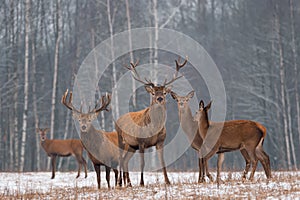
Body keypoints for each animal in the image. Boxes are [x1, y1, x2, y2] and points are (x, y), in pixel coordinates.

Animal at [115, 57, 188, 187]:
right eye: (153, 93)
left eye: (164, 92)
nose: (159, 98)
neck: (154, 128)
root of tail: (117, 120)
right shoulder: (141, 142)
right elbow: (142, 163)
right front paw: (141, 182)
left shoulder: (160, 142)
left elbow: (163, 161)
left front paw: (168, 181)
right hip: (121, 139)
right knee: (120, 158)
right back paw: (119, 183)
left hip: (131, 145)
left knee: (125, 160)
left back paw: (128, 183)